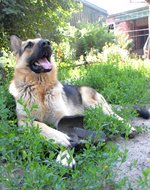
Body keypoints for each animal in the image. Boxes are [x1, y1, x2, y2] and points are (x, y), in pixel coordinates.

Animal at [9, 35, 138, 168]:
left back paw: (128, 127)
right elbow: (42, 125)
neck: (41, 89)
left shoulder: (62, 117)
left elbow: (65, 130)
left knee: (114, 116)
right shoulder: (23, 121)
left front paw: (65, 156)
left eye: (44, 40)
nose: (47, 43)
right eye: (29, 44)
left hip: (92, 104)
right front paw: (61, 139)